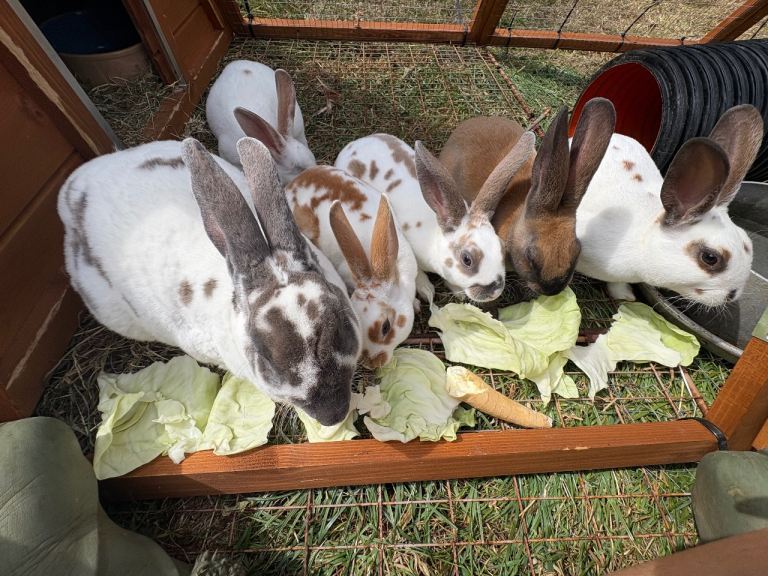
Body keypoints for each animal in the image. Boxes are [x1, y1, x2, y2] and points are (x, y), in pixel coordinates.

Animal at [335, 133, 533, 303]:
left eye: (501, 248)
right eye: (467, 259)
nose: (495, 290)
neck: (435, 238)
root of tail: (356, 143)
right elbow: (416, 273)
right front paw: (426, 290)